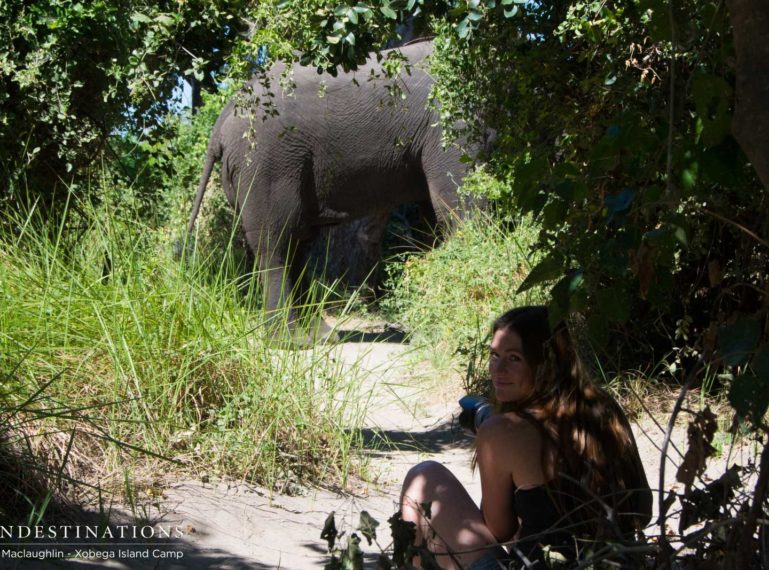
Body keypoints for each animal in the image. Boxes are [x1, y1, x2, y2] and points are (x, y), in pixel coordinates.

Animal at [186, 40, 486, 340]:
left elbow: (435, 212)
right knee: (276, 243)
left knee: (297, 242)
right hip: (265, 162)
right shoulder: (449, 117)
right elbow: (457, 203)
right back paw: (291, 341)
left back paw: (318, 336)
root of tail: (225, 114)